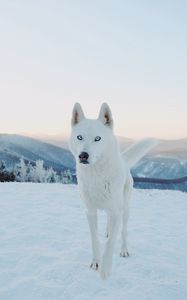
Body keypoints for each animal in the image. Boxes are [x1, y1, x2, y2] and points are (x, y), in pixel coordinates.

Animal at [69, 103, 157, 278]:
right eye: (80, 137)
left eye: (97, 138)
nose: (83, 155)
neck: (96, 176)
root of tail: (124, 161)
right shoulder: (90, 211)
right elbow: (94, 238)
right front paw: (96, 262)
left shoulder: (116, 211)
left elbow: (111, 242)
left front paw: (105, 270)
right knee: (109, 224)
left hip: (125, 209)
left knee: (123, 231)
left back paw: (124, 250)